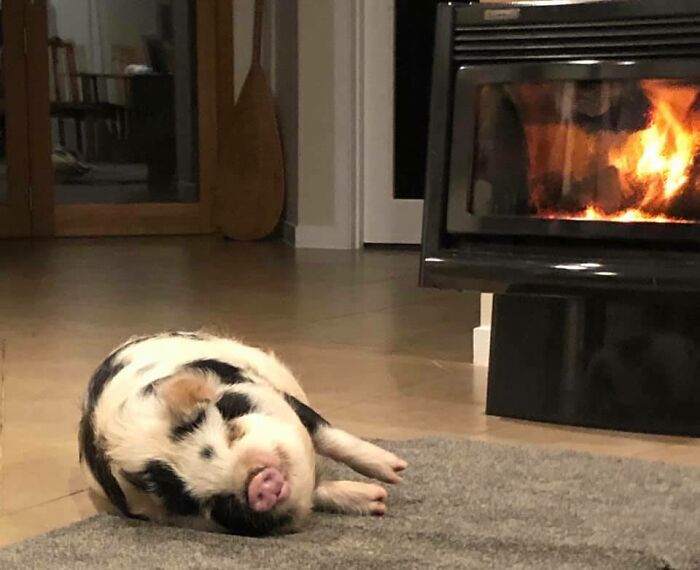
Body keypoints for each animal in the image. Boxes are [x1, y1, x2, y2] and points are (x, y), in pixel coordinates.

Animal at [78, 331, 408, 536]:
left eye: (232, 431)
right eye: (195, 501)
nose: (259, 483)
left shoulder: (271, 392)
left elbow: (326, 434)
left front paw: (396, 473)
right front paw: (379, 501)